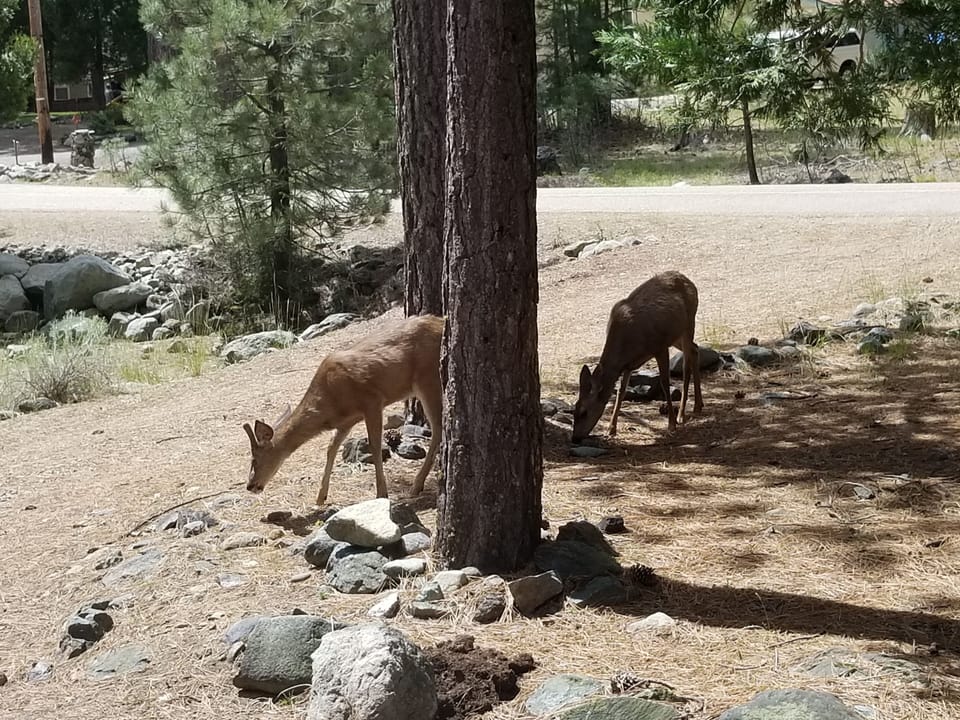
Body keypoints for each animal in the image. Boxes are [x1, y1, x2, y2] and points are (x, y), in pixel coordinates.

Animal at [243, 314, 443, 506]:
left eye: (255, 459)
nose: (250, 486)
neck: (329, 402)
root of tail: (442, 322)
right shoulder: (346, 421)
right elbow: (331, 448)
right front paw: (320, 497)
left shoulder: (372, 400)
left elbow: (375, 446)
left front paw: (381, 493)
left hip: (428, 378)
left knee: (438, 429)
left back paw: (416, 486)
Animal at [572, 271, 703, 443]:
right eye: (574, 409)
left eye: (584, 412)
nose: (574, 438)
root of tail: (688, 280)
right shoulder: (628, 364)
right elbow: (621, 391)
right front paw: (611, 429)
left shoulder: (659, 347)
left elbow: (665, 383)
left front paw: (671, 424)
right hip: (676, 335)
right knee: (695, 349)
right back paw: (698, 406)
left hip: (688, 324)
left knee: (687, 363)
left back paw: (682, 414)